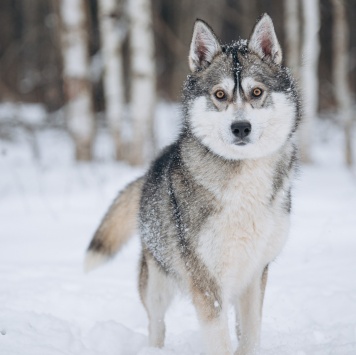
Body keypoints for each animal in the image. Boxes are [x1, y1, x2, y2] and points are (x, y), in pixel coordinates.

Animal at [86, 14, 300, 355]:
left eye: (256, 92)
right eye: (220, 95)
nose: (241, 127)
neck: (243, 180)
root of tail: (153, 166)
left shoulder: (255, 272)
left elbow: (250, 336)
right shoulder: (205, 281)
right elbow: (220, 340)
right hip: (157, 281)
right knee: (156, 323)